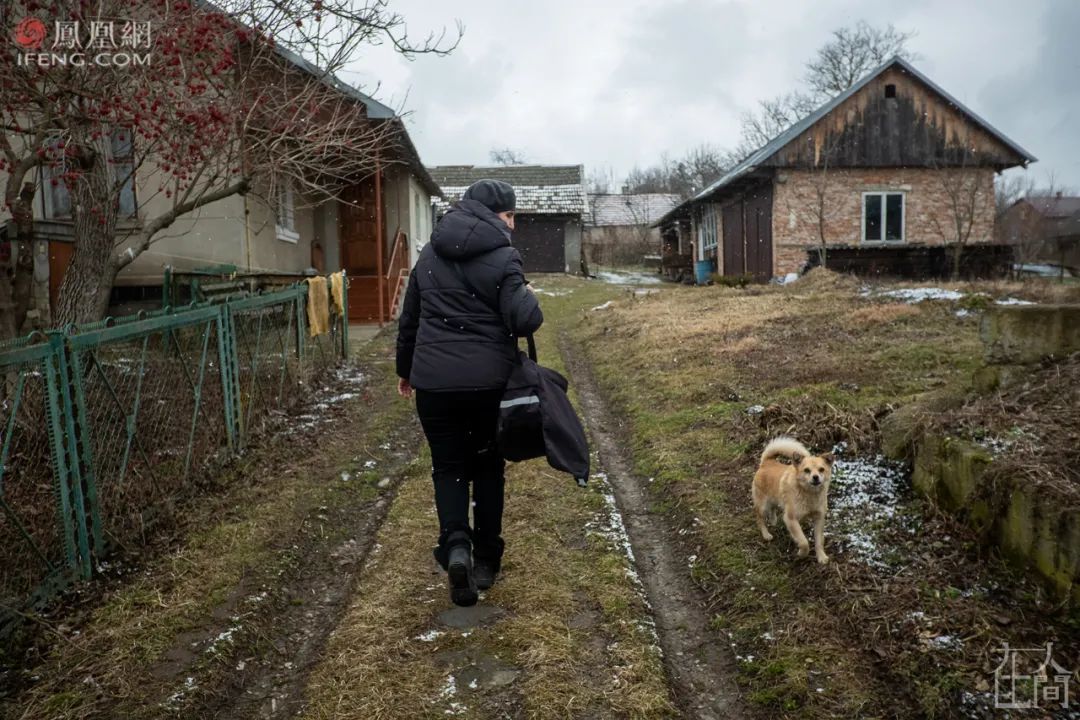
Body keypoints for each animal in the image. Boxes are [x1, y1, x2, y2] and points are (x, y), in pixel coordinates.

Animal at [751, 436, 833, 565]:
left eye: (821, 469)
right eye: (807, 470)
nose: (815, 477)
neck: (808, 493)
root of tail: (766, 462)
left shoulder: (819, 518)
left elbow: (819, 541)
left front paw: (821, 557)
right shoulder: (791, 519)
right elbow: (804, 542)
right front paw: (802, 554)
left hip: (775, 498)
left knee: (773, 507)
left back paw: (773, 520)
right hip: (762, 506)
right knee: (759, 519)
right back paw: (766, 535)